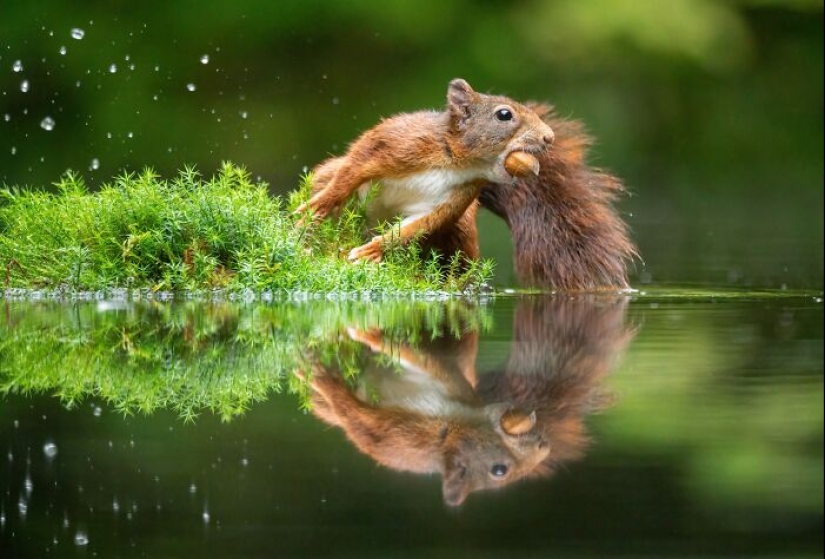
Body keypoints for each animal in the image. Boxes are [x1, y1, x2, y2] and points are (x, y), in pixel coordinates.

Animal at [297, 79, 555, 263]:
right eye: (504, 114)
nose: (549, 137)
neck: (460, 165)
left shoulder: (455, 198)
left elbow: (415, 227)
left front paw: (372, 250)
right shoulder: (396, 142)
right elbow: (354, 167)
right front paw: (318, 206)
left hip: (462, 231)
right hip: (327, 177)